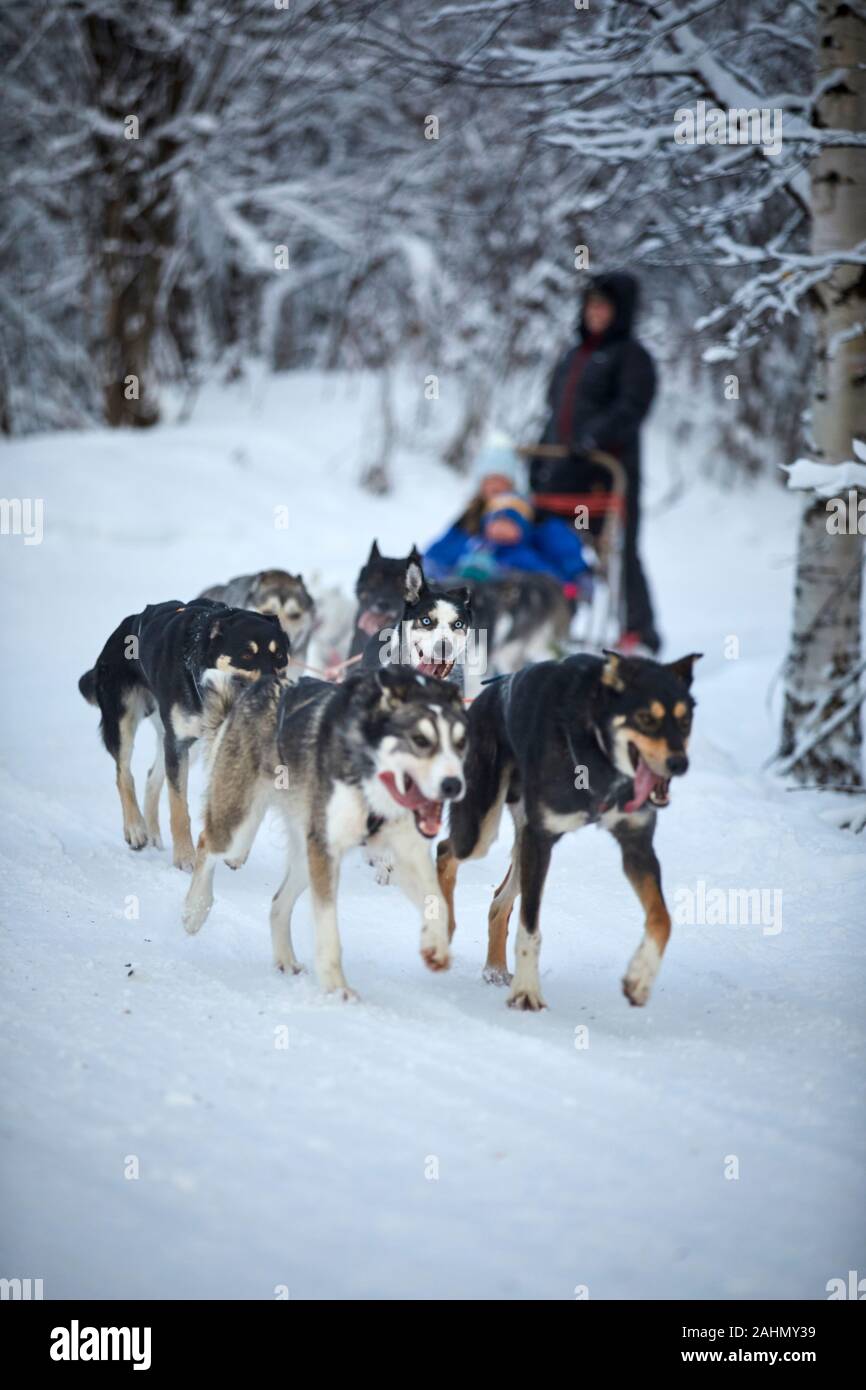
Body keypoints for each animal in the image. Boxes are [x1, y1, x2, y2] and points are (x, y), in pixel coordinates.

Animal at [78, 594, 287, 867]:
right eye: (246, 654)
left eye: (280, 655)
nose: (277, 688)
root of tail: (127, 624)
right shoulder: (177, 744)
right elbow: (179, 807)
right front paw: (186, 857)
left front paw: (237, 851)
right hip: (124, 719)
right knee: (124, 773)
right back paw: (136, 828)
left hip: (181, 741)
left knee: (152, 776)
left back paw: (153, 832)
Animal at [179, 664, 469, 1000]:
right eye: (420, 739)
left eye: (460, 743)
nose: (453, 785)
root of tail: (261, 685)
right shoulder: (326, 851)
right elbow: (328, 927)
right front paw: (337, 988)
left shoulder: (405, 855)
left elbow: (438, 902)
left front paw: (436, 944)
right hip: (240, 830)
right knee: (206, 844)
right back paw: (195, 910)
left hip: (305, 854)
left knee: (277, 903)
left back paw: (285, 958)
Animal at [436, 644, 700, 1017]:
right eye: (646, 718)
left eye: (685, 720)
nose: (679, 763)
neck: (598, 753)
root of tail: (485, 696)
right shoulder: (541, 839)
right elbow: (530, 928)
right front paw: (527, 992)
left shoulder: (636, 845)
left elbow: (662, 920)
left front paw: (640, 978)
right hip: (481, 831)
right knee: (445, 851)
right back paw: (442, 929)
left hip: (523, 841)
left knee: (499, 902)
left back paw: (496, 969)